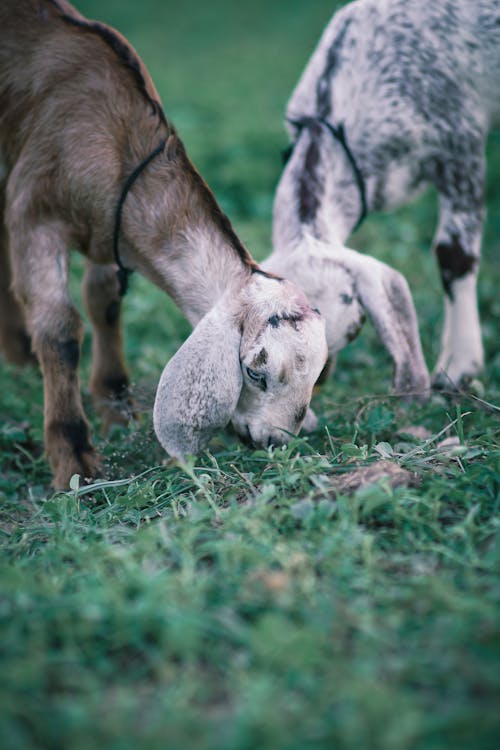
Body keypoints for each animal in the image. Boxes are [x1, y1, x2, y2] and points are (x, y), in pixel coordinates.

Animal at [0, 0, 328, 490]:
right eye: (255, 371)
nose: (275, 440)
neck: (115, 140)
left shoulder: (110, 228)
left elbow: (104, 301)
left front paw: (117, 409)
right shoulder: (34, 216)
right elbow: (60, 330)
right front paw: (74, 460)